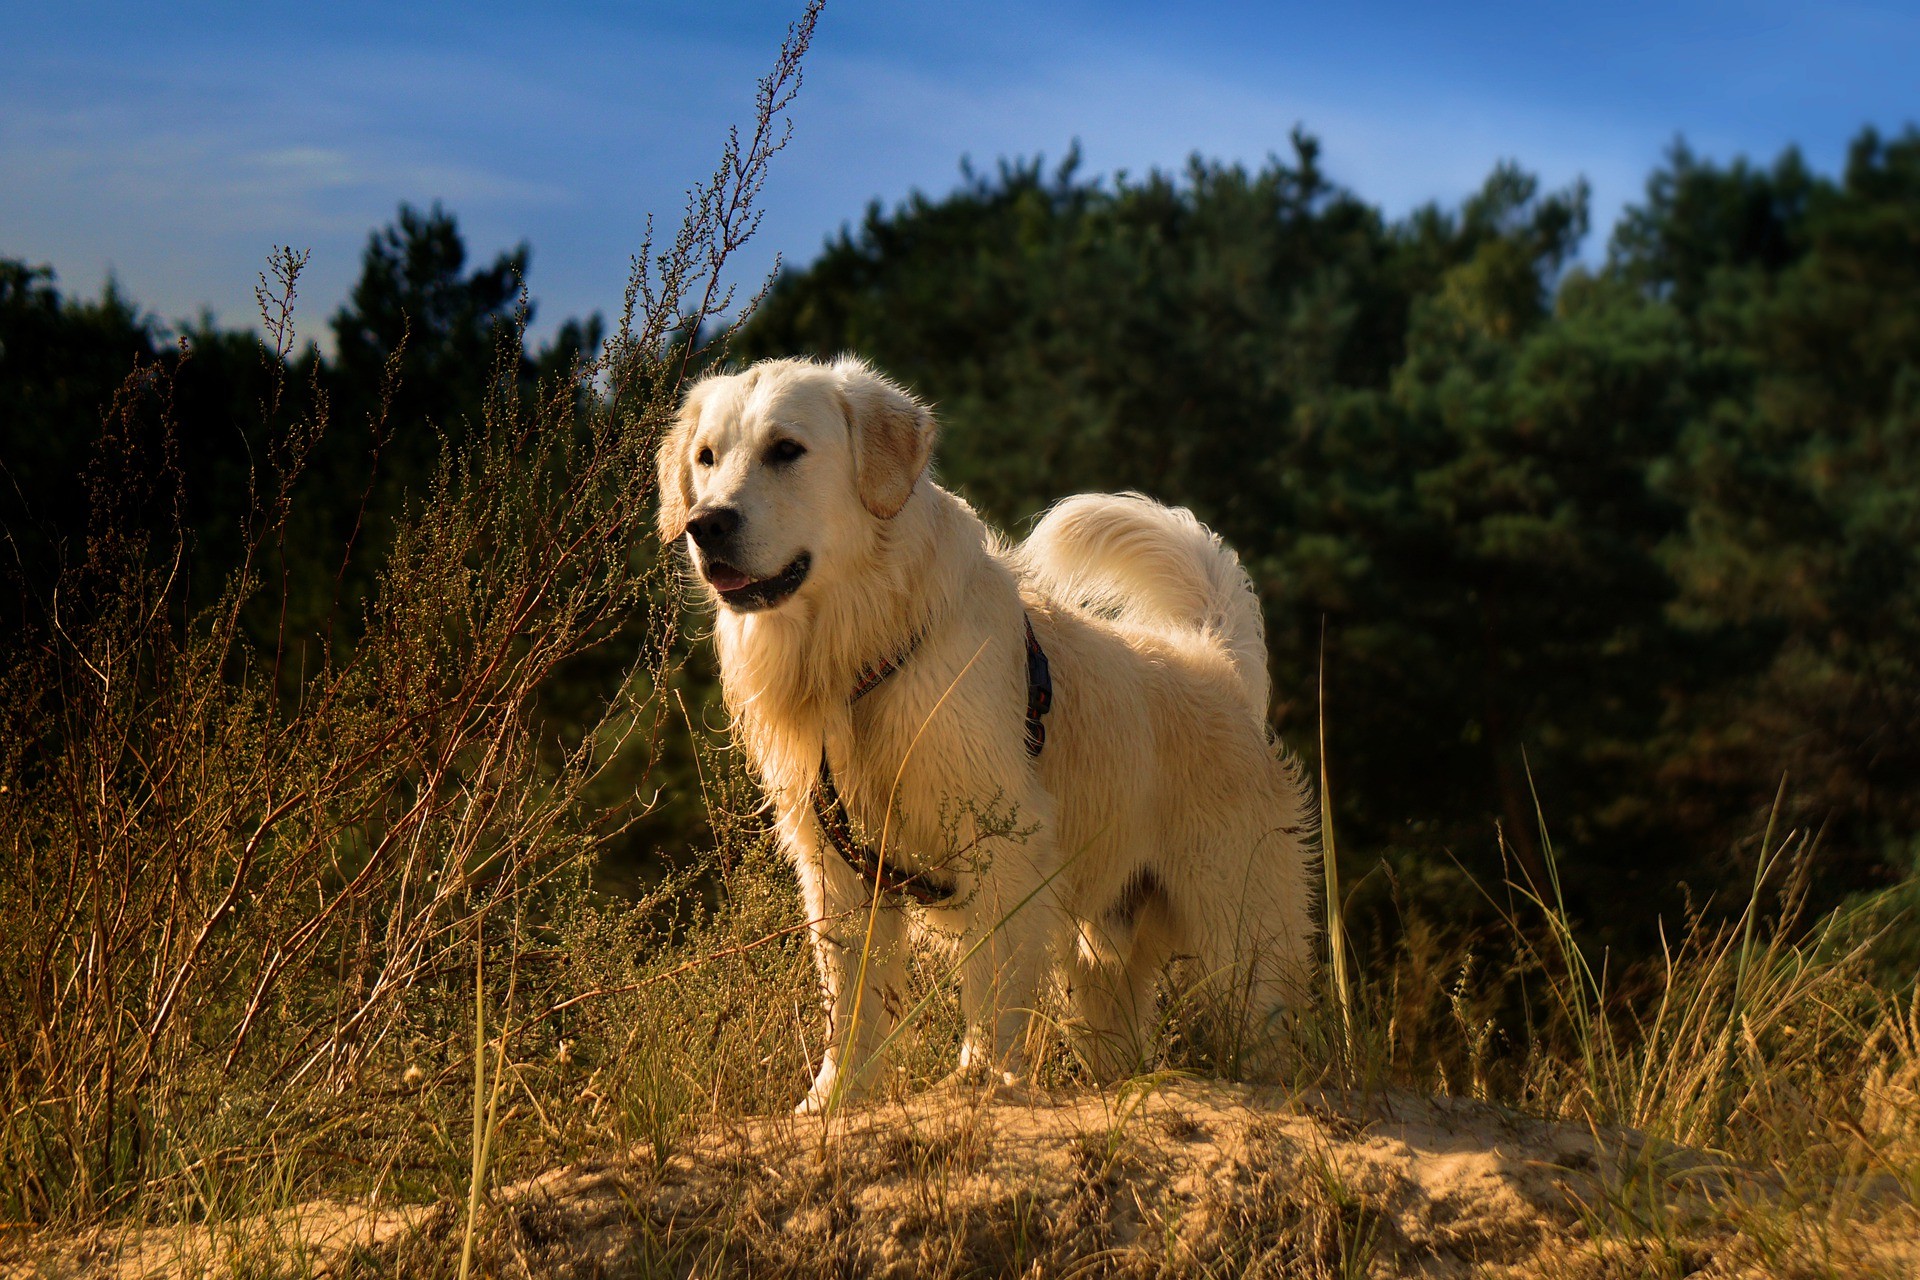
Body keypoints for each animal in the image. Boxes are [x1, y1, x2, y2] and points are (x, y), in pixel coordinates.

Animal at [660, 353, 1320, 1113]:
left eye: (785, 450)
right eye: (706, 458)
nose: (705, 524)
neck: (862, 651)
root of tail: (1215, 663)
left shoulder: (1000, 840)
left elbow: (991, 984)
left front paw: (980, 1080)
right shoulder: (835, 864)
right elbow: (849, 1003)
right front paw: (831, 1103)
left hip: (1239, 927)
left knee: (1265, 1023)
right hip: (1101, 963)